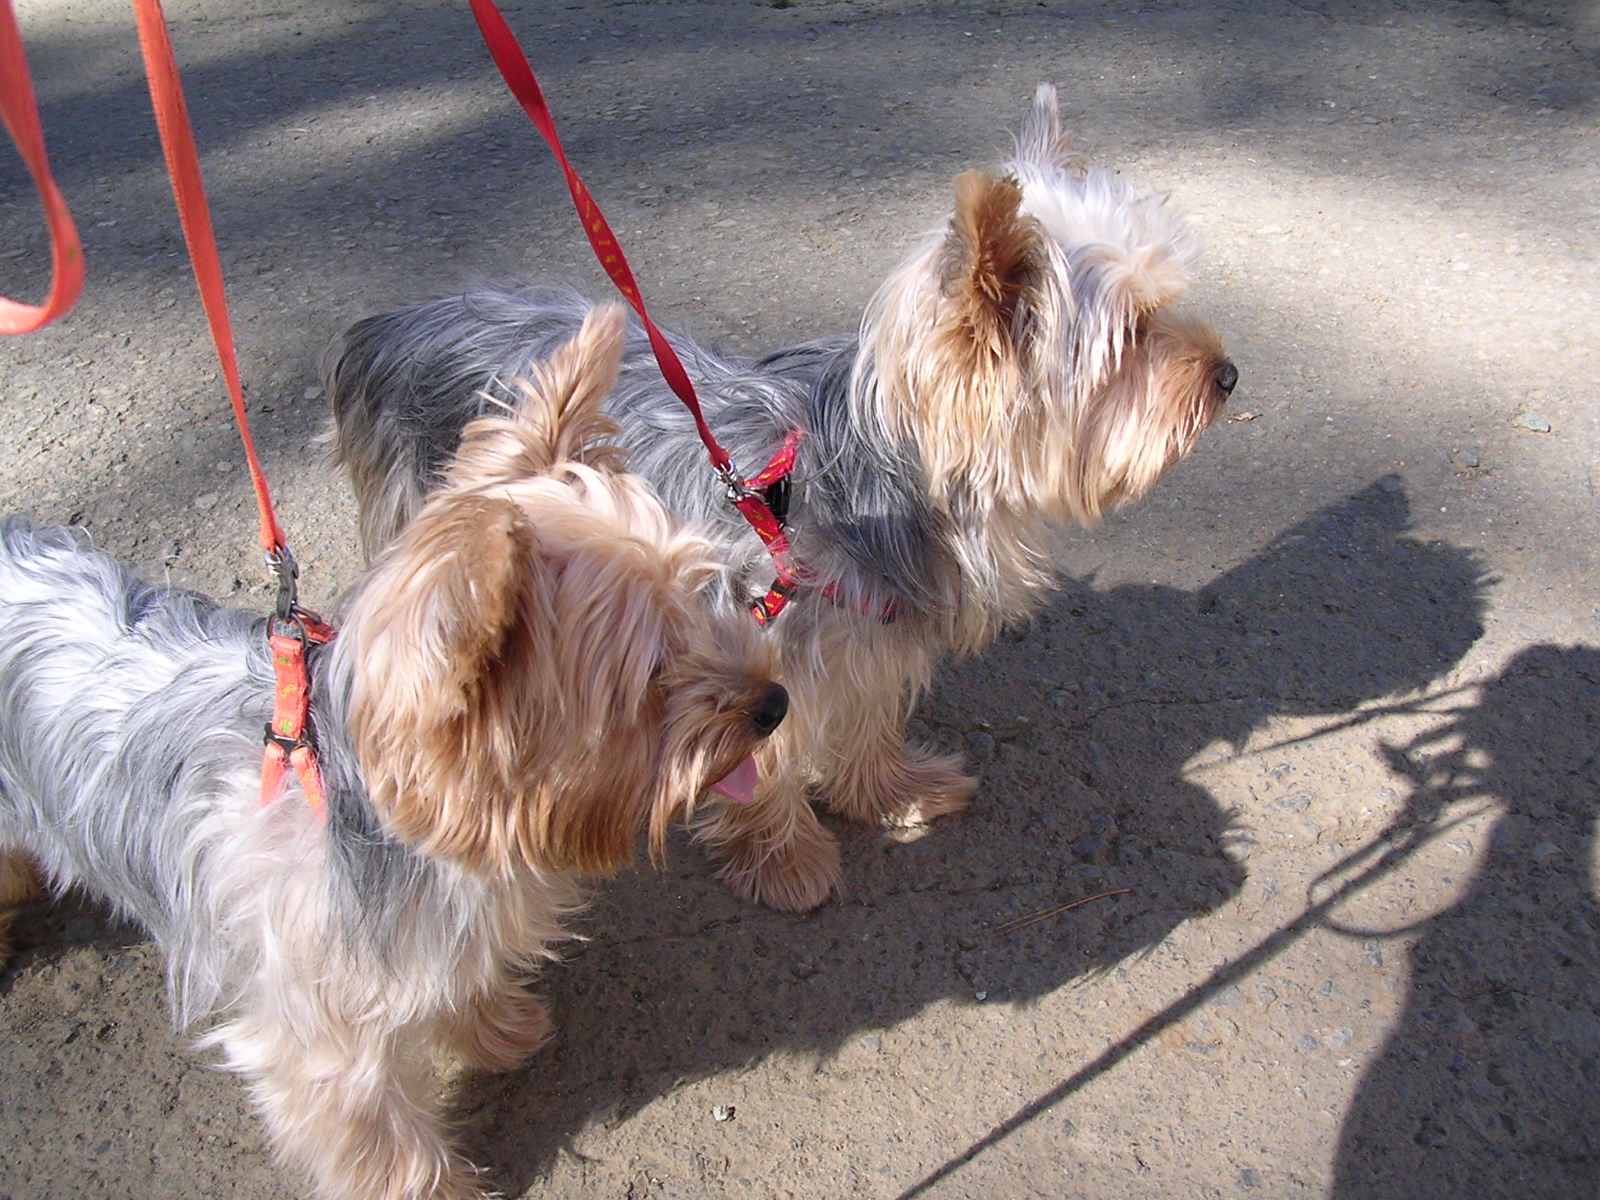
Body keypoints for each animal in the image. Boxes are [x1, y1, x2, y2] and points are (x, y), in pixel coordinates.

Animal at [0, 306, 789, 1200]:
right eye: (651, 672)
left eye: (703, 596)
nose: (775, 703)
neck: (383, 810)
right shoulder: (316, 1042)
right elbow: (381, 1142)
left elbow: (460, 980)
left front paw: (493, 1027)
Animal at [324, 85, 1236, 915]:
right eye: (1136, 334)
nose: (1228, 374)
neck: (885, 468)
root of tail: (383, 329)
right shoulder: (768, 642)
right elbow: (764, 758)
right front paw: (786, 861)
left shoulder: (868, 631)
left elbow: (869, 716)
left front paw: (893, 792)